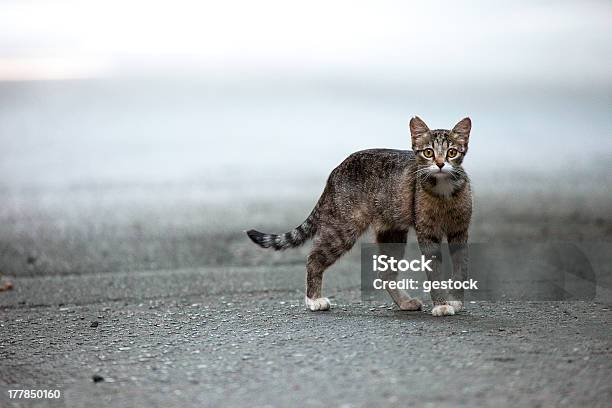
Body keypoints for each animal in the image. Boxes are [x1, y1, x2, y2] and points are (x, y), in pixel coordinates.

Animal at [249, 116, 474, 318]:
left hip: (391, 232)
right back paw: (314, 300)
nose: (440, 163)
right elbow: (434, 269)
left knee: (385, 272)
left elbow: (461, 267)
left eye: (452, 152)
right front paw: (442, 305)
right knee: (313, 258)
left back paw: (404, 302)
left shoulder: (460, 230)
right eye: (428, 152)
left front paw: (454, 301)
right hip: (343, 229)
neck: (443, 191)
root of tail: (335, 172)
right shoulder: (427, 233)